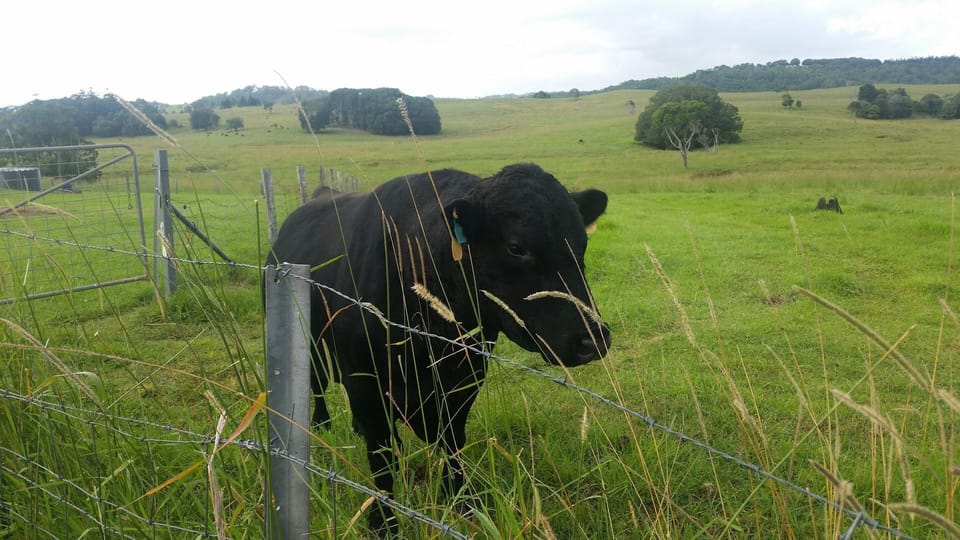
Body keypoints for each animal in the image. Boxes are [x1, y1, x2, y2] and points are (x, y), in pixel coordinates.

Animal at [266, 163, 611, 535]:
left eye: (582, 242)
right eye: (516, 247)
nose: (593, 338)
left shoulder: (466, 376)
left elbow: (452, 442)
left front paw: (464, 502)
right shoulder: (363, 379)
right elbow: (382, 458)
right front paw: (383, 523)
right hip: (311, 340)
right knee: (317, 382)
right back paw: (320, 423)